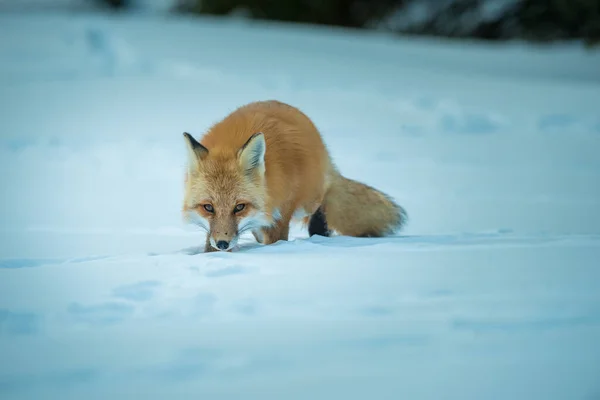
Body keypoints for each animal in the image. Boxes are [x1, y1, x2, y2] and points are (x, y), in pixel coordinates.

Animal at [182, 99, 408, 253]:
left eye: (239, 207)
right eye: (208, 207)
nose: (223, 243)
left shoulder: (281, 213)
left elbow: (275, 239)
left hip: (309, 199)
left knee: (324, 200)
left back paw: (320, 231)